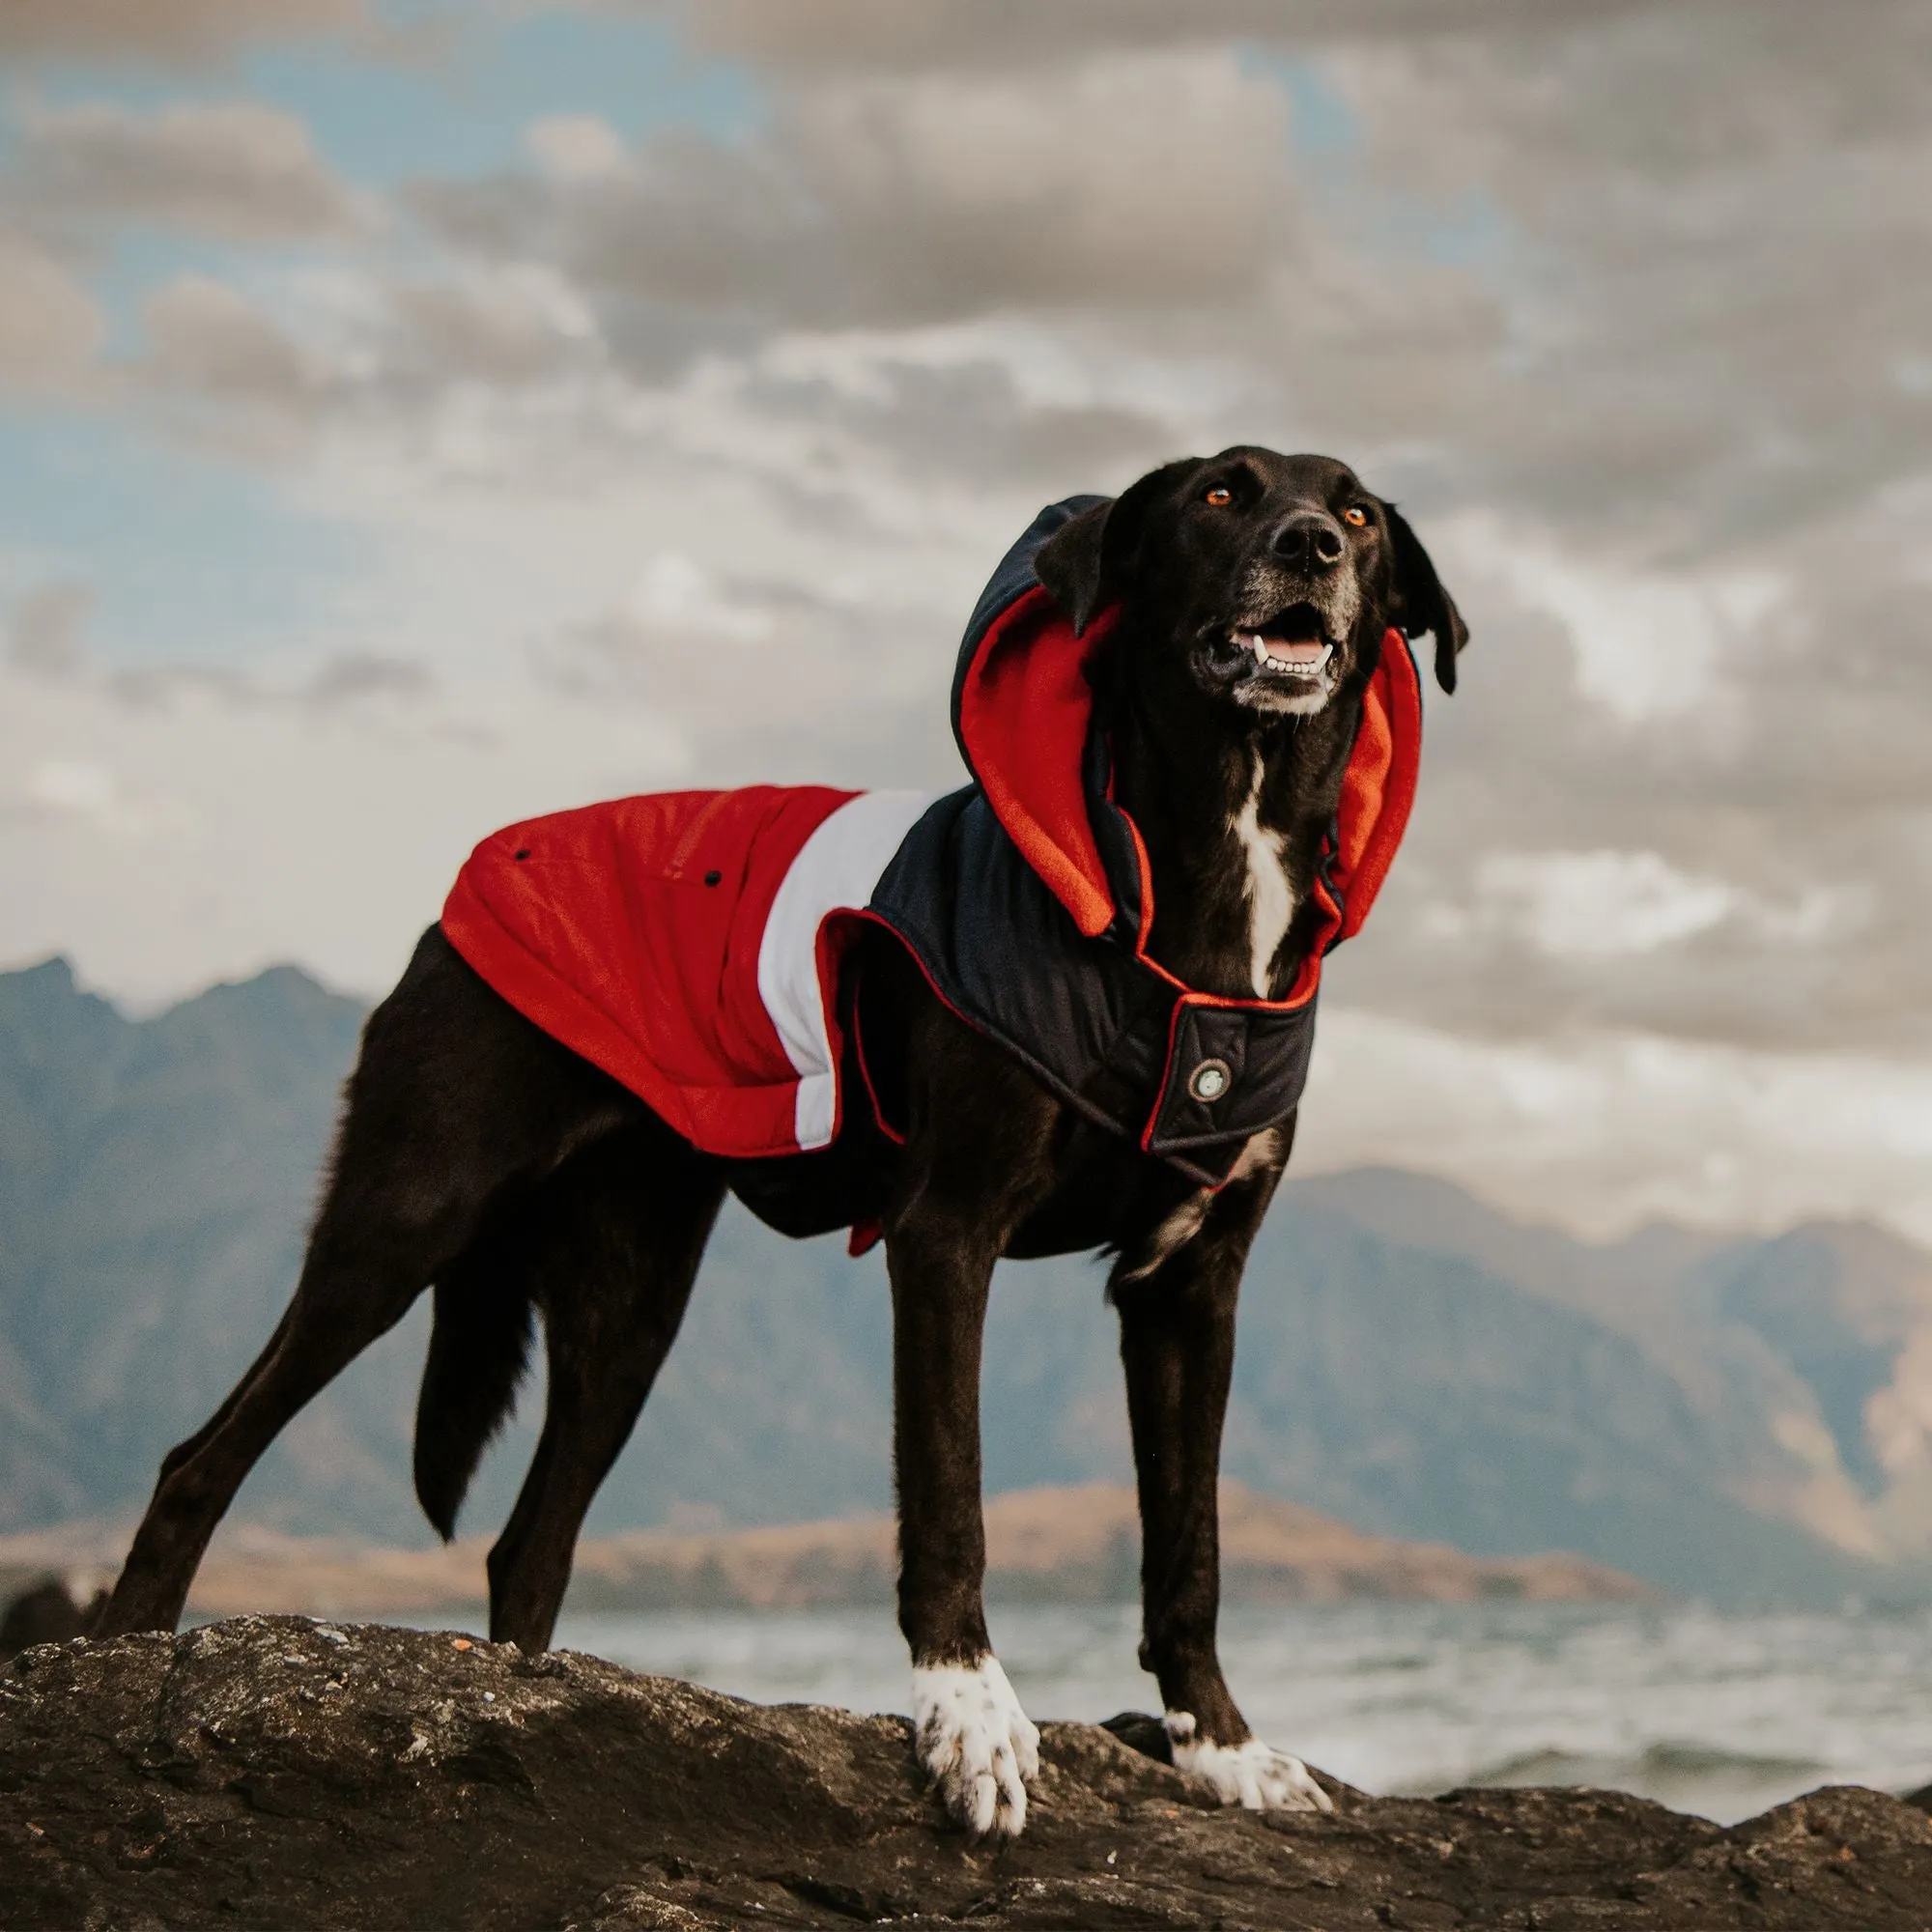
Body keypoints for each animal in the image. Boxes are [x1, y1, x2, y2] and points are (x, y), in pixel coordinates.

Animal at [101, 444, 1461, 1832]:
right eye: (1221, 496)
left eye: (1355, 512)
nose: (1310, 548)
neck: (1180, 886)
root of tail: (453, 907)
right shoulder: (947, 1234)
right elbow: (952, 1492)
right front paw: (970, 1716)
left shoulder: (1190, 1287)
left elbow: (1192, 1545)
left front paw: (1223, 1749)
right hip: (406, 1213)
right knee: (197, 1461)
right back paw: (124, 1662)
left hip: (632, 1305)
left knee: (530, 1543)